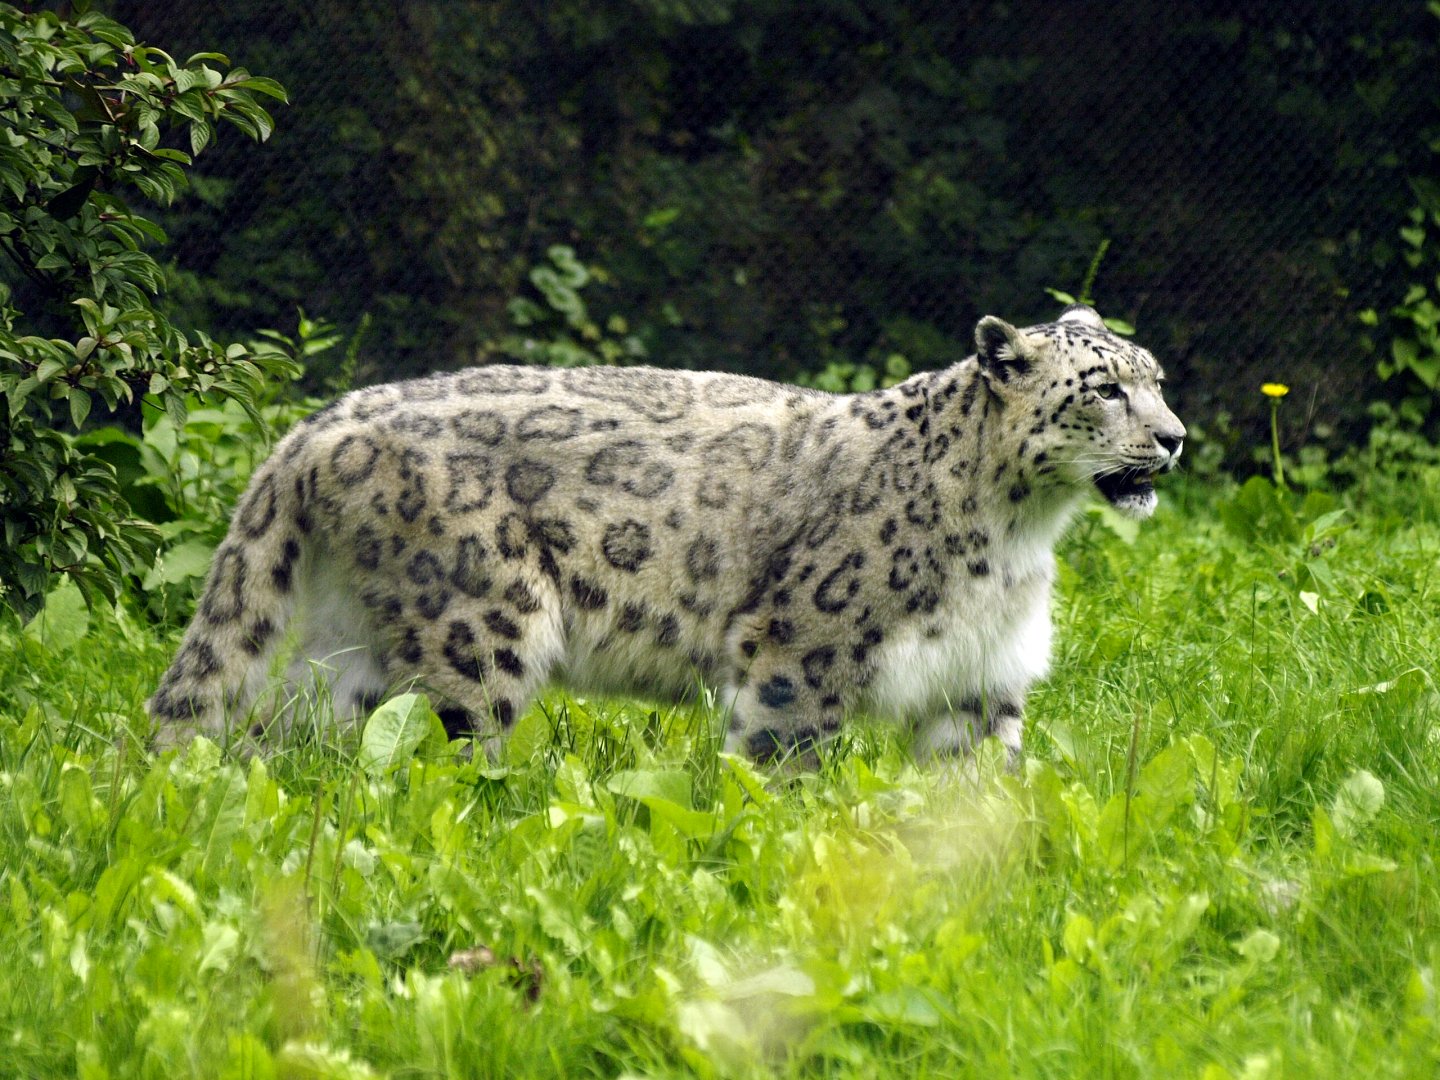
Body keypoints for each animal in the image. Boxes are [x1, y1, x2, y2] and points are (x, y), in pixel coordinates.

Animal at [148, 303, 1184, 765]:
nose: (1175, 438)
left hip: (348, 640)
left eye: (1159, 377)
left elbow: (984, 789)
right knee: (447, 750)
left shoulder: (981, 678)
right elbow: (779, 763)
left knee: (294, 736)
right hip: (480, 628)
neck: (1020, 534)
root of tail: (321, 425)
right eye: (1105, 388)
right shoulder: (801, 656)